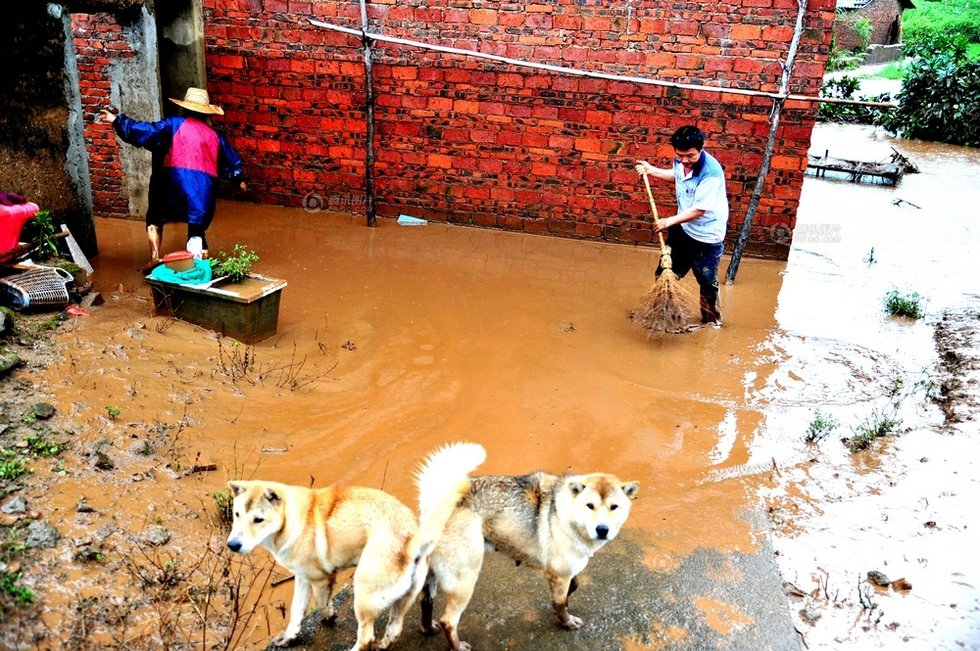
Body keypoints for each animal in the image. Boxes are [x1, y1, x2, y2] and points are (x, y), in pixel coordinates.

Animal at [231, 444, 490, 651]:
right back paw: (389, 643)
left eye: (258, 519)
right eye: (236, 514)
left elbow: (321, 604)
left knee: (365, 637)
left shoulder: (318, 579)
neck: (294, 517)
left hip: (363, 593)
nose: (232, 545)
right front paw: (289, 638)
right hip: (406, 596)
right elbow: (296, 612)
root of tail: (411, 540)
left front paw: (327, 619)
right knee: (394, 629)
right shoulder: (303, 578)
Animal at [420, 472, 636, 648]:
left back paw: (428, 628)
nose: (602, 530)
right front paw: (566, 621)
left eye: (614, 507)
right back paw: (457, 646)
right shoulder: (560, 573)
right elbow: (560, 602)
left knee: (426, 601)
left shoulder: (564, 570)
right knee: (448, 621)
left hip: (430, 576)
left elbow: (573, 586)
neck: (565, 512)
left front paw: (565, 603)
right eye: (590, 506)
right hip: (465, 578)